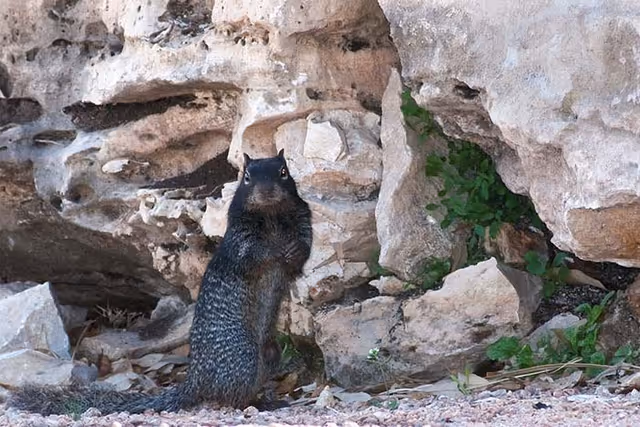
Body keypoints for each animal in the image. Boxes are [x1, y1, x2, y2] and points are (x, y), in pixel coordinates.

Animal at [7, 149, 313, 416]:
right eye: (246, 176)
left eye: (284, 172)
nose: (266, 191)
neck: (271, 216)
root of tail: (194, 381)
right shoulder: (240, 241)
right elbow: (253, 255)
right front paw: (275, 250)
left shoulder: (303, 223)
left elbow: (301, 252)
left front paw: (292, 249)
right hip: (243, 357)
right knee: (231, 398)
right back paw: (262, 404)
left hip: (270, 353)